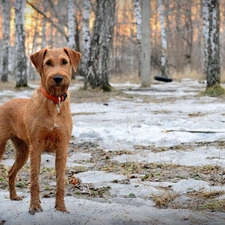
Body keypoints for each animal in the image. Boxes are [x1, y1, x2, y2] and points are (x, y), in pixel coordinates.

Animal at [0, 48, 81, 214]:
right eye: (47, 63)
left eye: (64, 61)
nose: (57, 78)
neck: (54, 102)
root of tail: (5, 104)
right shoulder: (36, 147)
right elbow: (34, 180)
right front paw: (35, 206)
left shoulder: (62, 148)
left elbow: (60, 181)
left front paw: (61, 207)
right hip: (2, 145)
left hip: (23, 152)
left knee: (11, 173)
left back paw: (13, 196)